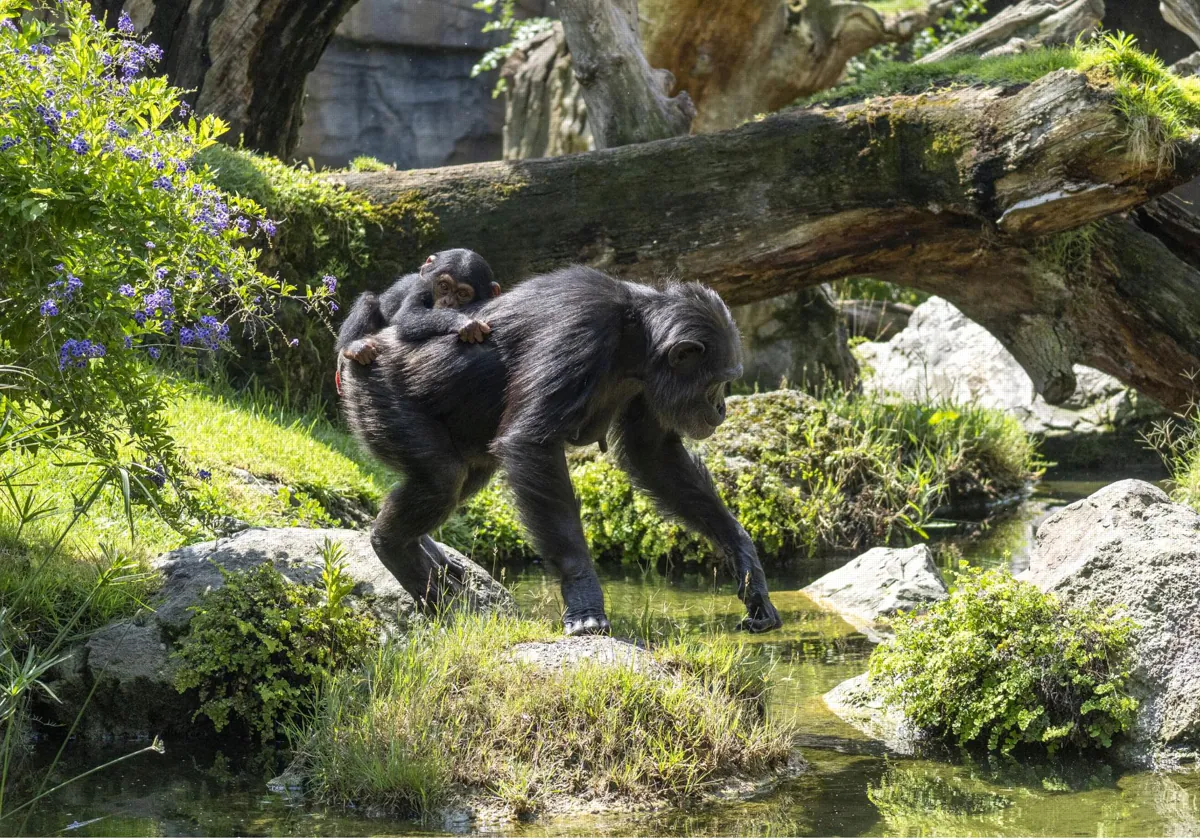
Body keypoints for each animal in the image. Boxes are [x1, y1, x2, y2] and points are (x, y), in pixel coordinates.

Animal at [336, 246, 499, 364]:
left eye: (463, 294)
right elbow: (407, 315)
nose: (447, 302)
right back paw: (352, 347)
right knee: (369, 300)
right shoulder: (422, 285)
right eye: (444, 286)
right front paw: (464, 322)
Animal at [338, 265, 782, 633]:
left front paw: (748, 566)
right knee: (442, 478)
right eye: (718, 382)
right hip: (379, 394)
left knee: (466, 475)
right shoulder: (579, 331)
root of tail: (358, 348)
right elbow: (533, 442)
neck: (634, 335)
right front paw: (584, 600)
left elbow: (655, 455)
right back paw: (396, 549)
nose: (722, 407)